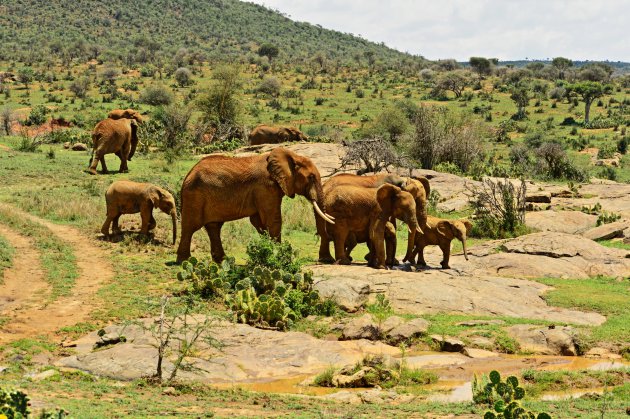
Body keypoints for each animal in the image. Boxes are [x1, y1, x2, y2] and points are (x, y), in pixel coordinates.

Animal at [177, 148, 336, 264]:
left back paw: (223, 261)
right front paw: (280, 256)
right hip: (194, 196)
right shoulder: (265, 187)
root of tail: (188, 175)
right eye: (311, 177)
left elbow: (258, 222)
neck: (292, 156)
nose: (327, 259)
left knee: (214, 227)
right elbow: (273, 220)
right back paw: (184, 261)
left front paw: (269, 251)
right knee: (190, 227)